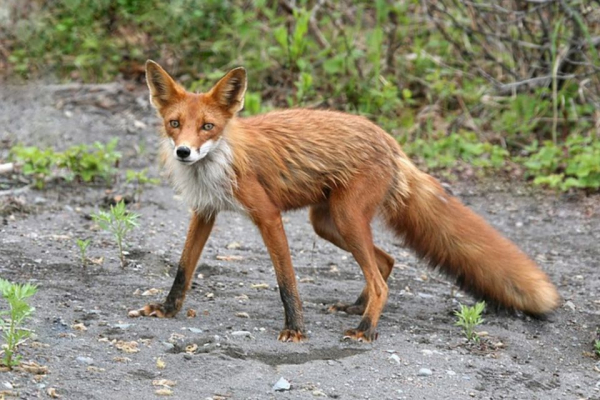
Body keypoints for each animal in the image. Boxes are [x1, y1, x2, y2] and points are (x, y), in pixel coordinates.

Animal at [129, 61, 560, 342]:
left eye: (208, 126)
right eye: (174, 124)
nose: (184, 152)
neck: (219, 161)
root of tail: (390, 142)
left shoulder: (267, 215)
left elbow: (287, 280)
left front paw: (295, 329)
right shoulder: (204, 212)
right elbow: (183, 269)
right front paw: (167, 309)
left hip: (347, 217)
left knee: (380, 278)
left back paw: (366, 329)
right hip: (328, 222)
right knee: (386, 262)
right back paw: (358, 308)